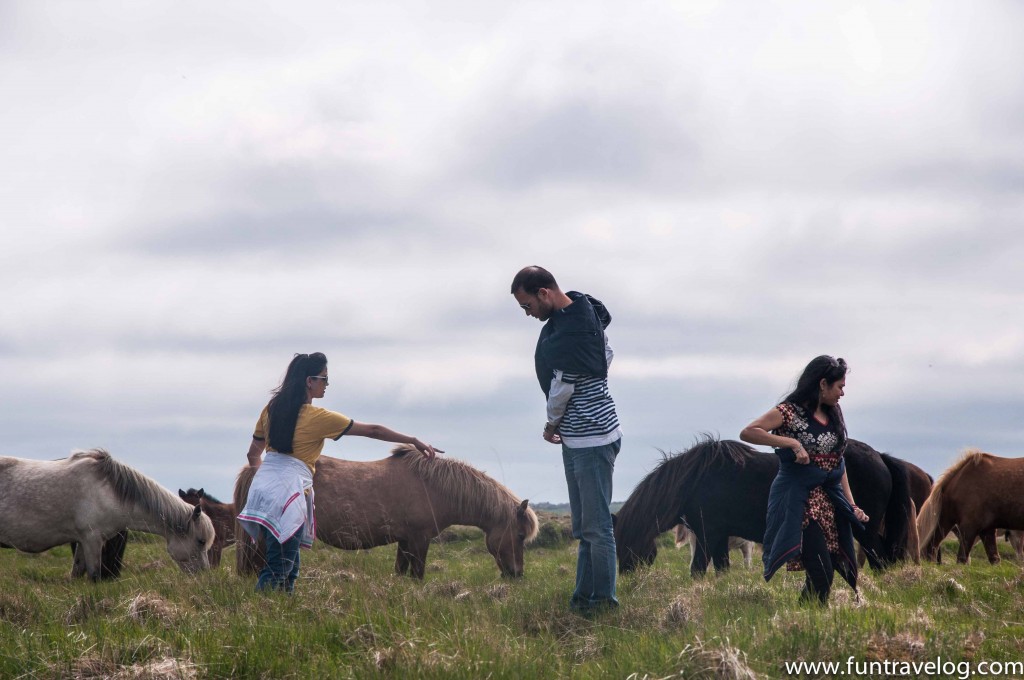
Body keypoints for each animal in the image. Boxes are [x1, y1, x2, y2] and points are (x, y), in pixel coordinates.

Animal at [0, 446, 216, 577]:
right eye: (201, 541)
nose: (205, 575)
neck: (108, 491)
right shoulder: (92, 540)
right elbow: (94, 576)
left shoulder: (82, 541)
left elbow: (76, 574)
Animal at [237, 446, 544, 577]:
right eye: (519, 535)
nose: (517, 574)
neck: (433, 486)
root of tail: (257, 468)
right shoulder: (419, 540)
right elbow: (417, 575)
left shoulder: (406, 541)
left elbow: (401, 573)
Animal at [614, 438, 913, 577]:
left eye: (624, 543)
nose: (627, 576)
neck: (694, 480)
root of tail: (880, 457)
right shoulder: (716, 537)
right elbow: (717, 570)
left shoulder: (709, 534)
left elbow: (699, 570)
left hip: (864, 529)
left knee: (879, 559)